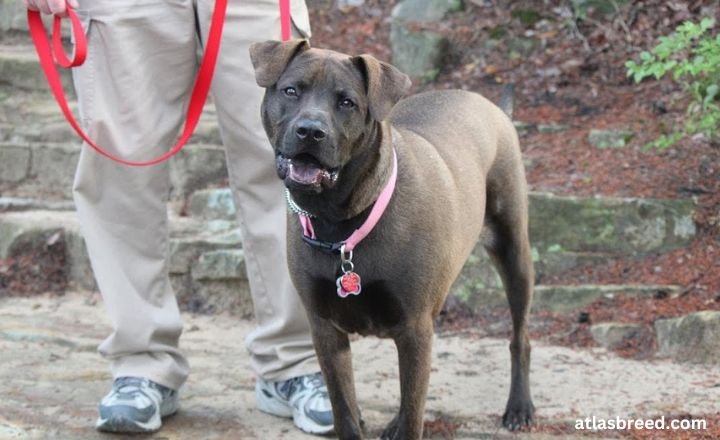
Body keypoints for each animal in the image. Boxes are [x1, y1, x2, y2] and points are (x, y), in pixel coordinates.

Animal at [249, 39, 536, 438]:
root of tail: (493, 107)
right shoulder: (326, 331)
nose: (310, 131)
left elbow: (414, 412)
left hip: (513, 252)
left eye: (347, 102)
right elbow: (346, 412)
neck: (340, 223)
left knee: (520, 337)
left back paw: (519, 406)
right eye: (291, 91)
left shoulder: (413, 327)